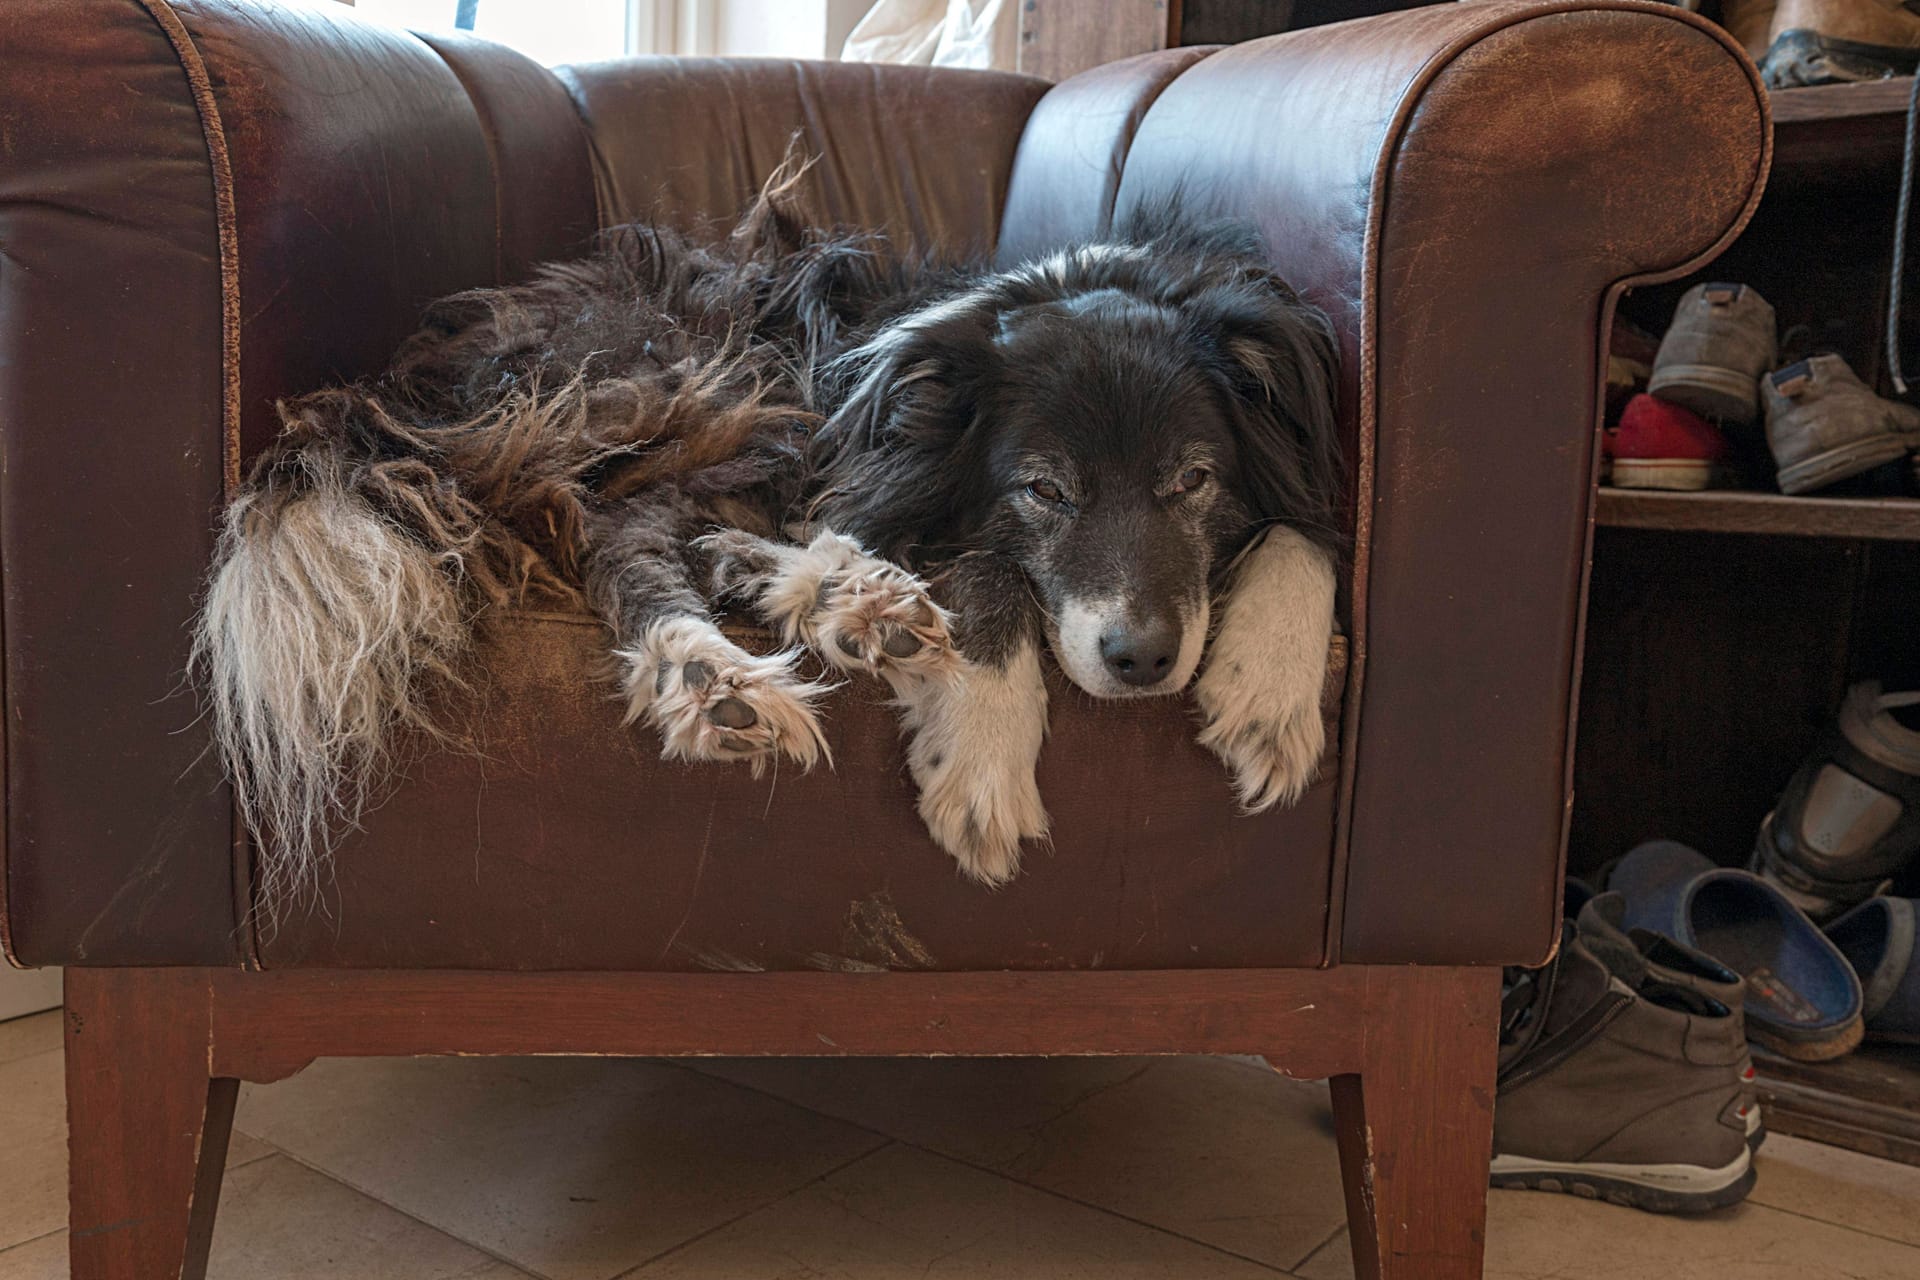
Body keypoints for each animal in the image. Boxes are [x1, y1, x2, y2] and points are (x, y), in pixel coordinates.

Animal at [194, 165, 1336, 905]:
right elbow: (986, 574)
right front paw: (982, 757)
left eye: (1193, 480)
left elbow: (1305, 533)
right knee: (619, 527)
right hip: (707, 375)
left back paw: (838, 602)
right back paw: (716, 670)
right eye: (1044, 489)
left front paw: (1271, 695)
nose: (1143, 661)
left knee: (687, 527)